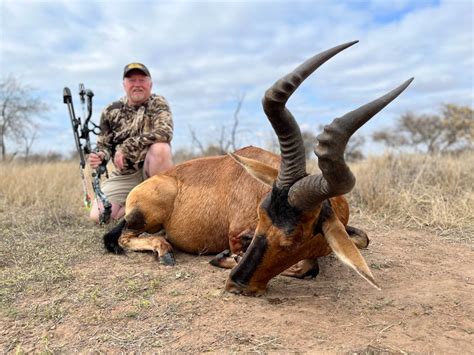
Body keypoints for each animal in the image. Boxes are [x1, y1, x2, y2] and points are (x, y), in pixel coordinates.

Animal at [103, 41, 412, 296]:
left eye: (293, 239)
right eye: (261, 215)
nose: (236, 285)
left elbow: (357, 242)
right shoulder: (236, 234)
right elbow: (305, 266)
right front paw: (227, 258)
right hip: (144, 217)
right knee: (126, 236)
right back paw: (165, 252)